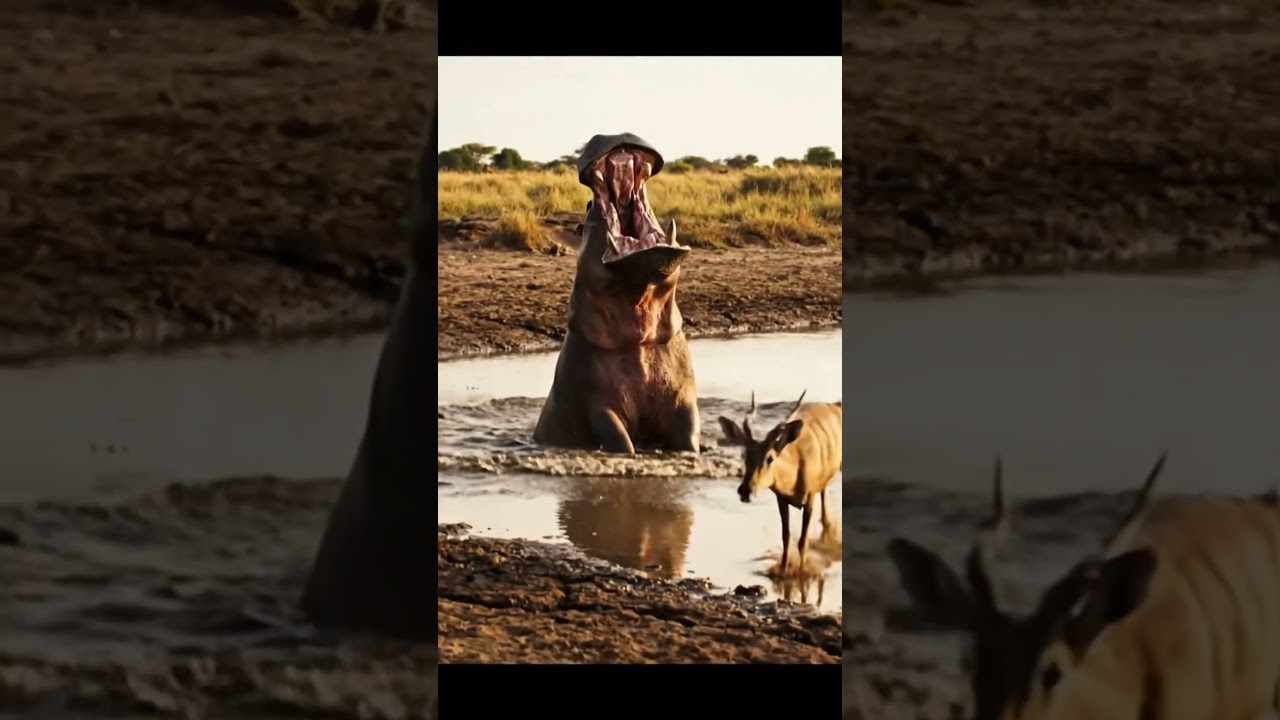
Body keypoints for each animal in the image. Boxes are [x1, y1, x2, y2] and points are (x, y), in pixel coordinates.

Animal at [532, 133, 700, 455]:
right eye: (588, 206)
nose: (613, 135)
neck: (639, 337)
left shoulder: (683, 400)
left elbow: (689, 436)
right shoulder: (599, 406)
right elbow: (619, 439)